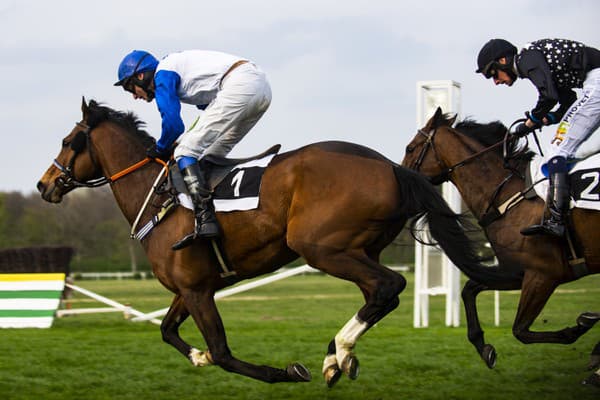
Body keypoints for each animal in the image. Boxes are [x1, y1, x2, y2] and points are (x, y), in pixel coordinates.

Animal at [38, 98, 496, 386]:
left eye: (68, 141)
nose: (45, 184)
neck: (159, 198)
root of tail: (393, 168)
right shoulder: (191, 288)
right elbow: (168, 331)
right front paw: (198, 356)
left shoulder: (197, 289)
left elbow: (222, 352)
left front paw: (285, 372)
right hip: (357, 248)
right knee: (378, 294)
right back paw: (337, 357)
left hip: (322, 247)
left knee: (389, 286)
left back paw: (338, 350)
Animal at [400, 108, 600, 382]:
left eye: (410, 148)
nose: (399, 178)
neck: (508, 196)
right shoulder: (516, 271)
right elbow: (469, 289)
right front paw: (483, 346)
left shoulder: (544, 274)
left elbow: (520, 330)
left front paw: (580, 329)